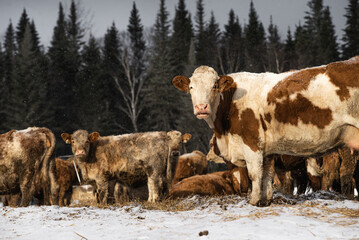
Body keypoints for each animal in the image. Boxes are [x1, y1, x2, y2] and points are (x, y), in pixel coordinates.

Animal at [61, 130, 191, 203]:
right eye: (73, 141)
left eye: (87, 141)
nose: (80, 151)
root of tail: (163, 135)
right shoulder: (110, 178)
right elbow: (109, 193)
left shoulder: (101, 178)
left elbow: (102, 193)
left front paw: (102, 204)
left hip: (153, 170)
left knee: (154, 184)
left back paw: (153, 200)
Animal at [174, 55, 359, 205]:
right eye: (191, 87)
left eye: (214, 86)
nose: (201, 107)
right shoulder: (268, 151)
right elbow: (267, 175)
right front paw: (266, 200)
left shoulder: (252, 143)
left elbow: (255, 174)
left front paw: (254, 201)